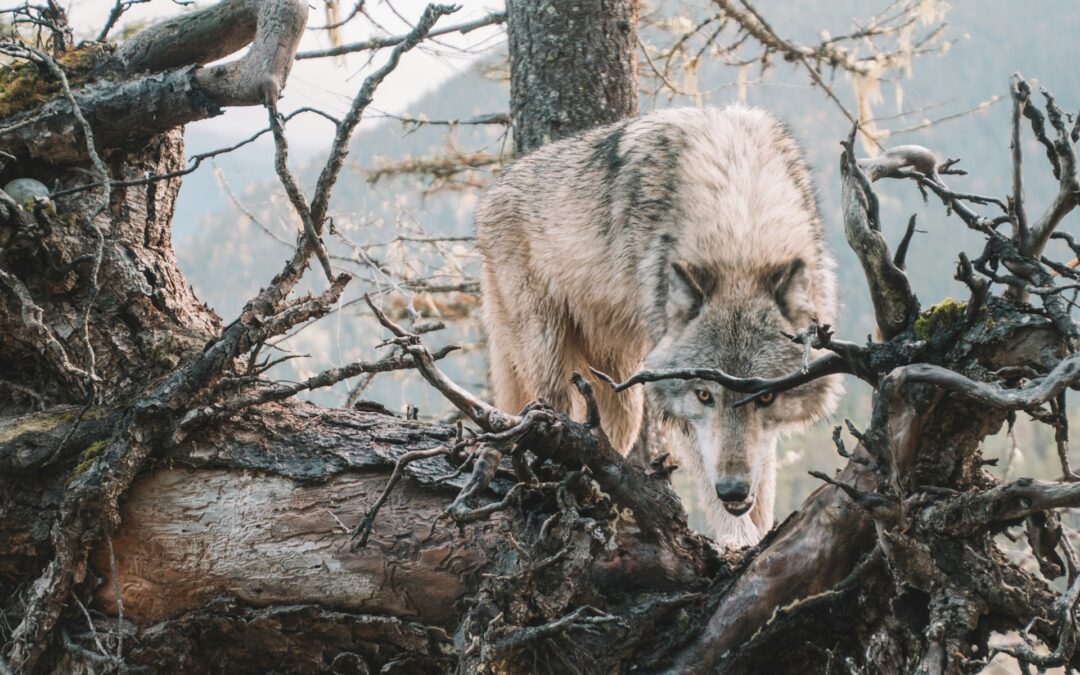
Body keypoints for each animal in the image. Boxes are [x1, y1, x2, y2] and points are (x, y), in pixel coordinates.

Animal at [475, 106, 841, 548]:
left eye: (765, 397)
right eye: (704, 395)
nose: (733, 490)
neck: (741, 226)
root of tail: (494, 190)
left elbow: (765, 472)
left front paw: (762, 531)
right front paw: (738, 541)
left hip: (621, 398)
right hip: (552, 365)